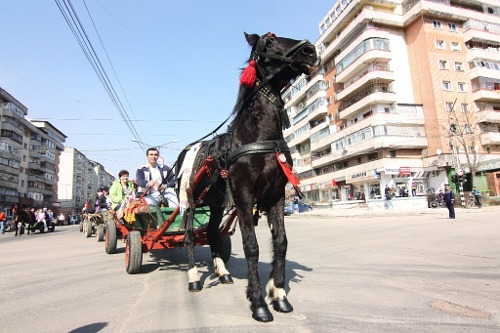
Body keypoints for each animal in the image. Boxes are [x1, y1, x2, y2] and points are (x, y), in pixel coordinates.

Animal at [178, 31, 318, 322]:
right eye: (270, 42)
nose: (311, 51)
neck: (259, 138)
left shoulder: (276, 195)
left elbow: (281, 242)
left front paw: (279, 294)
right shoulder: (244, 195)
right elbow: (251, 246)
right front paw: (258, 302)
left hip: (216, 204)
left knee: (211, 231)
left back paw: (222, 272)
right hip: (190, 202)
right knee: (189, 236)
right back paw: (194, 278)